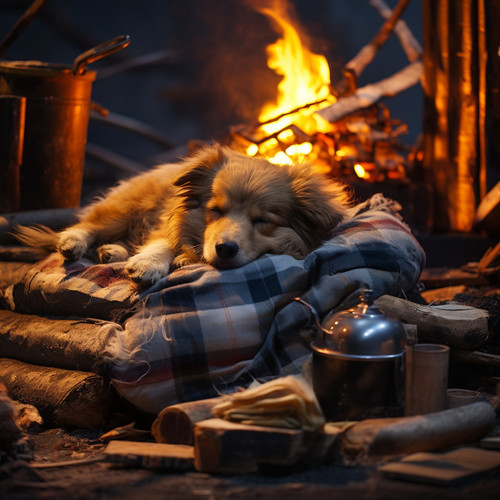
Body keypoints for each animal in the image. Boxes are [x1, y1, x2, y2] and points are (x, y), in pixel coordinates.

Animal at [16, 146, 352, 284]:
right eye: (215, 210)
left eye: (263, 221)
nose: (225, 249)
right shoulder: (168, 225)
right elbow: (164, 242)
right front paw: (149, 264)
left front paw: (180, 260)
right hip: (125, 210)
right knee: (87, 225)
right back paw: (74, 243)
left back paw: (111, 252)